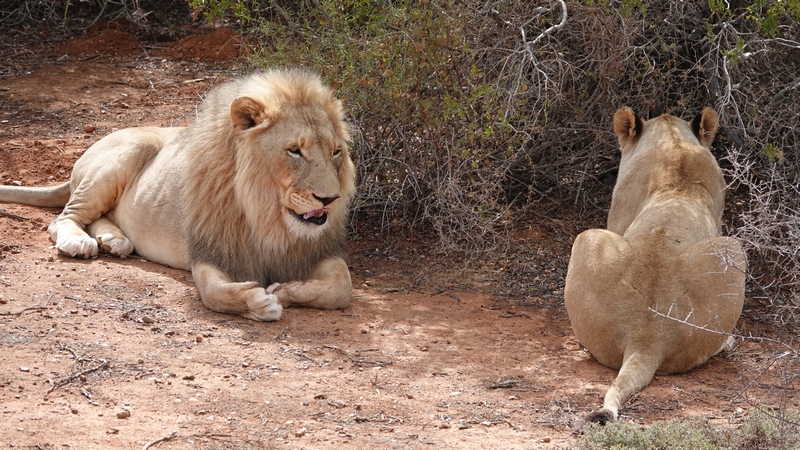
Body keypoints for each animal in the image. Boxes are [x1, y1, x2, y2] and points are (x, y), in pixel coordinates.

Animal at [0, 68, 356, 321]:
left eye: (336, 152)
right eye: (295, 151)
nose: (329, 200)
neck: (267, 215)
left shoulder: (317, 252)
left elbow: (341, 289)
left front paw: (285, 290)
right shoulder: (210, 251)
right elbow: (213, 293)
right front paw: (257, 302)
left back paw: (115, 241)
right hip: (131, 150)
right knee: (65, 217)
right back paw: (80, 242)